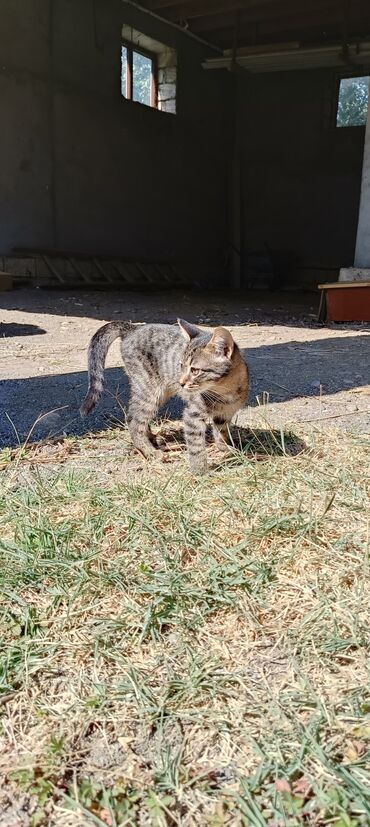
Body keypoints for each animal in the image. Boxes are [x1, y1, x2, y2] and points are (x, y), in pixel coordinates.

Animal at [81, 318, 249, 472]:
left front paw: (227, 449)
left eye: (195, 370)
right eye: (181, 366)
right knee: (133, 419)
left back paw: (153, 439)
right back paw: (149, 451)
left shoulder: (224, 414)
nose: (181, 382)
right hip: (149, 390)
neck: (225, 392)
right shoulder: (192, 414)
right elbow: (196, 445)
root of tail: (132, 328)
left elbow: (221, 433)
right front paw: (199, 470)